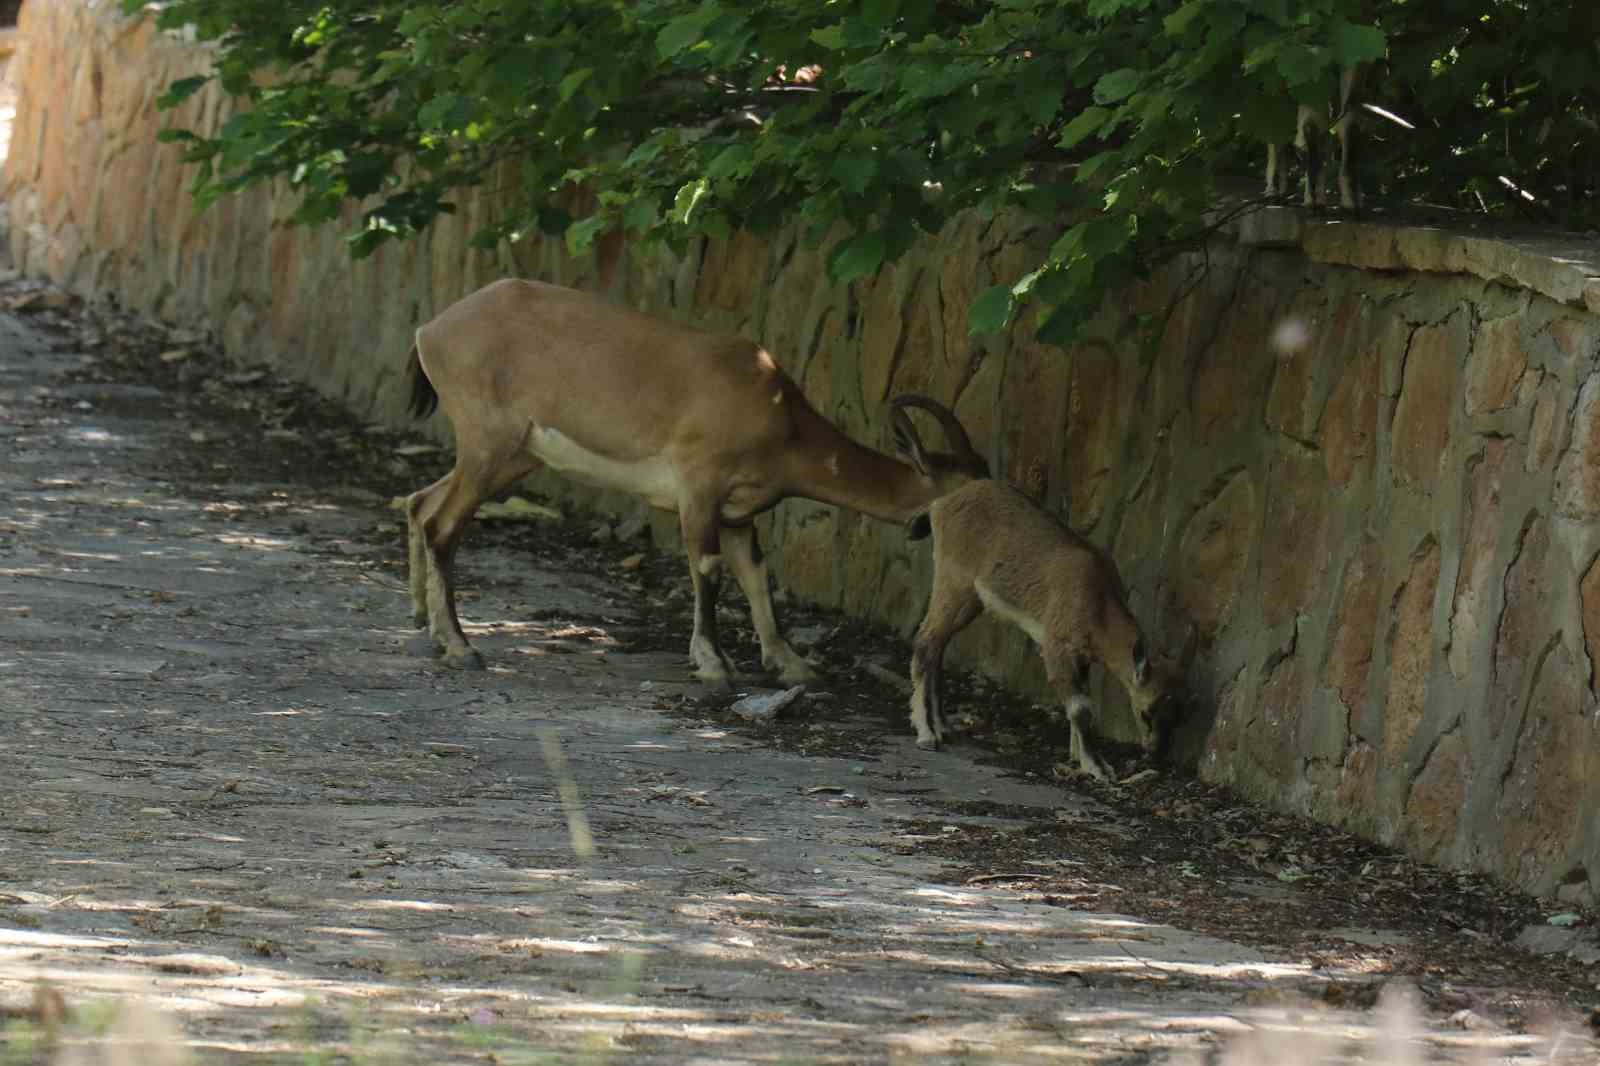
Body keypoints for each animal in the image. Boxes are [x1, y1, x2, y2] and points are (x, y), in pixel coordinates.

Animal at [403, 275, 985, 681]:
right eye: (968, 490)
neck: (779, 415)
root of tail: (430, 331)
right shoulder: (699, 487)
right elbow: (707, 569)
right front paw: (713, 664)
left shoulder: (740, 511)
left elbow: (755, 574)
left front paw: (790, 663)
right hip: (488, 442)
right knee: (443, 526)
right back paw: (461, 647)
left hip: (515, 457)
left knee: (421, 502)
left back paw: (423, 620)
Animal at [902, 480, 1190, 781]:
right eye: (1147, 711)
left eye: (1181, 713)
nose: (1155, 752)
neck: (1097, 600)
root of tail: (940, 504)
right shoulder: (1056, 645)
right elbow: (1081, 708)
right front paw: (1098, 767)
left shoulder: (1081, 657)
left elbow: (1083, 696)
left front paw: (1078, 755)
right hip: (954, 582)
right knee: (925, 641)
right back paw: (926, 733)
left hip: (970, 600)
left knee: (938, 647)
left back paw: (942, 726)